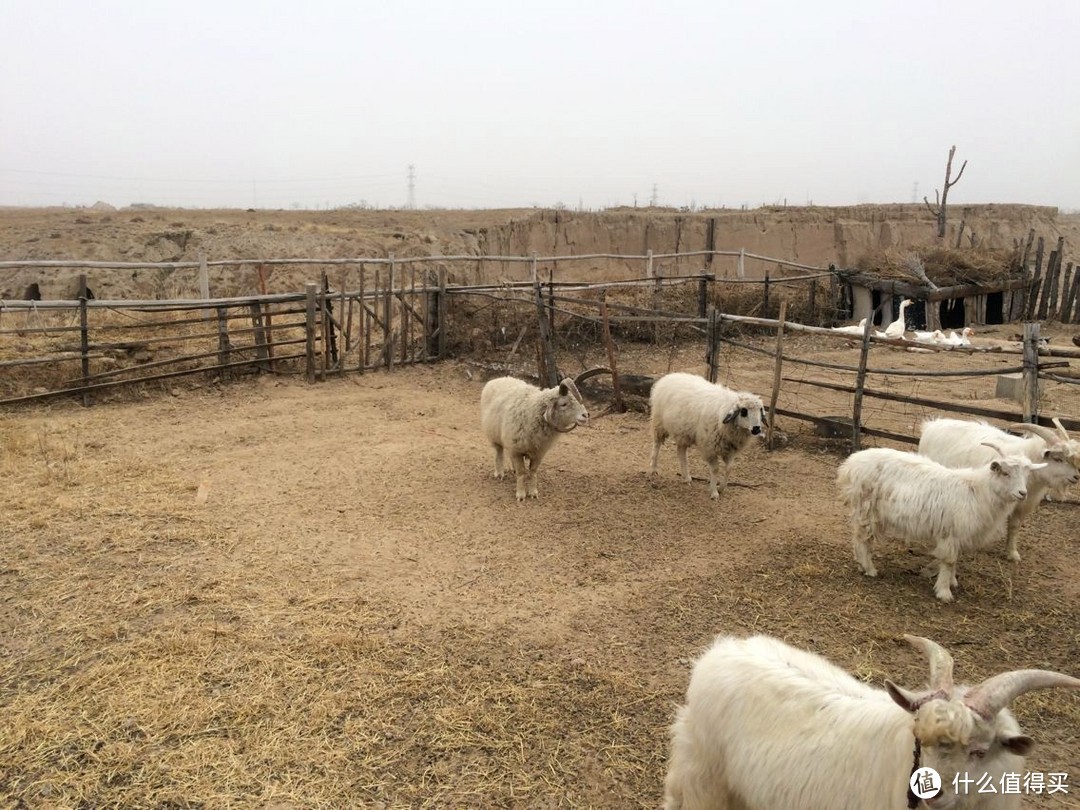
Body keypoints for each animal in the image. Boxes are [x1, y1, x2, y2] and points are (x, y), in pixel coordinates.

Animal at [643, 373, 764, 501]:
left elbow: (729, 468)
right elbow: (715, 469)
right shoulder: (709, 448)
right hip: (659, 423)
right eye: (744, 411)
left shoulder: (729, 449)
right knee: (657, 444)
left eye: (760, 410)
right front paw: (714, 492)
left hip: (682, 432)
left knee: (681, 452)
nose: (757, 428)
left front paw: (721, 488)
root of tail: (669, 376)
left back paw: (686, 477)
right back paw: (653, 468)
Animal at [829, 444, 1041, 604]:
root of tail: (850, 464)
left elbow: (955, 560)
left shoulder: (958, 535)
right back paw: (869, 569)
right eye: (1005, 473)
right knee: (863, 539)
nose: (1022, 493)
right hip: (867, 508)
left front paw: (953, 581)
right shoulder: (951, 532)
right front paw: (944, 591)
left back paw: (860, 564)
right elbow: (949, 561)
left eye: (1026, 475)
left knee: (858, 537)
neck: (977, 491)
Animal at [920, 419, 1080, 565]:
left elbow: (1014, 526)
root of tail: (931, 424)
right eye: (1058, 459)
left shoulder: (1022, 505)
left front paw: (1012, 553)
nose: (1076, 477)